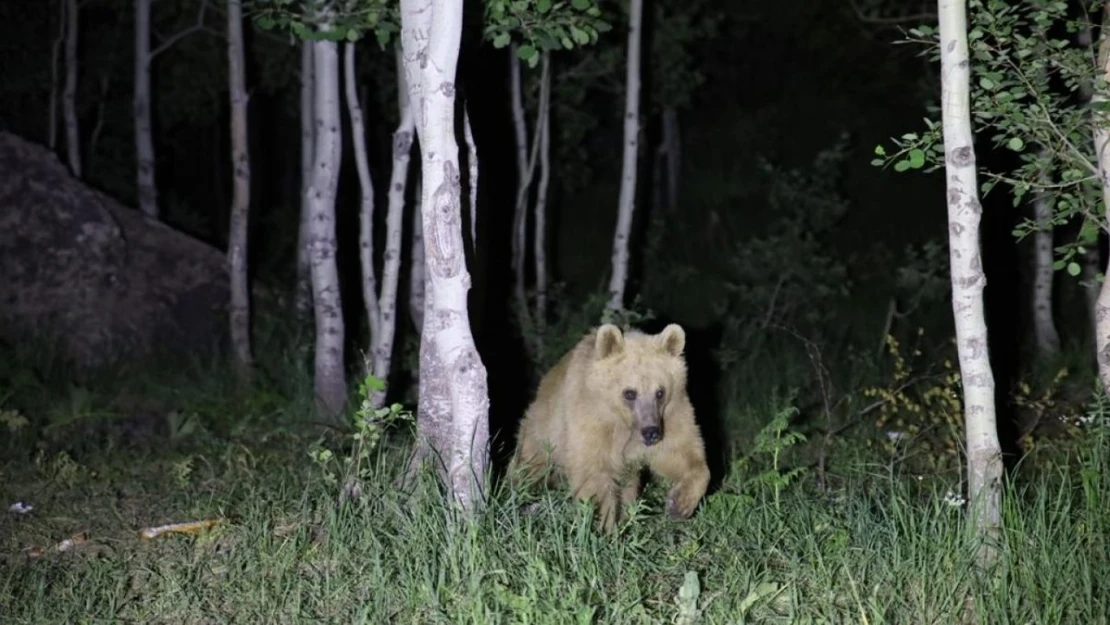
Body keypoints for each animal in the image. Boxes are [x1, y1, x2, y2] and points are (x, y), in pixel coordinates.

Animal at [508, 321, 710, 532]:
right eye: (630, 393)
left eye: (660, 392)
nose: (651, 433)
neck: (625, 426)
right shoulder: (592, 420)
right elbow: (594, 475)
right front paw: (603, 526)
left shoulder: (671, 415)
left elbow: (682, 453)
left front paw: (679, 504)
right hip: (543, 431)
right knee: (530, 465)